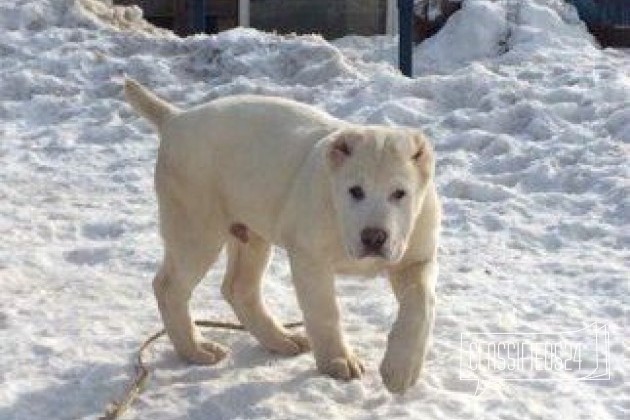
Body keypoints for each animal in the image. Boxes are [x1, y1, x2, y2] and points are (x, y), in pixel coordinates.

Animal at [126, 79, 442, 394]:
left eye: (399, 194)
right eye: (355, 191)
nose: (374, 237)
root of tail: (176, 119)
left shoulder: (416, 260)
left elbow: (421, 305)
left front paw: (401, 369)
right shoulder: (310, 259)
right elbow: (325, 311)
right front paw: (338, 360)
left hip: (250, 234)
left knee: (238, 289)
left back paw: (281, 340)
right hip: (195, 228)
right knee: (169, 287)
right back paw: (196, 349)